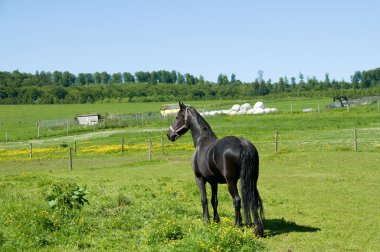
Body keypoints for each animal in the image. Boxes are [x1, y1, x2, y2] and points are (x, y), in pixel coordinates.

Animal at [167, 102, 264, 236]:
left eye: (177, 117)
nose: (169, 135)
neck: (202, 141)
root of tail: (244, 145)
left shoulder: (199, 179)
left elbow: (204, 199)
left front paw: (206, 220)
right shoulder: (213, 182)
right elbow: (214, 200)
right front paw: (216, 220)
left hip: (231, 182)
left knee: (237, 200)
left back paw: (238, 225)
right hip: (252, 180)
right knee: (254, 199)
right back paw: (258, 229)